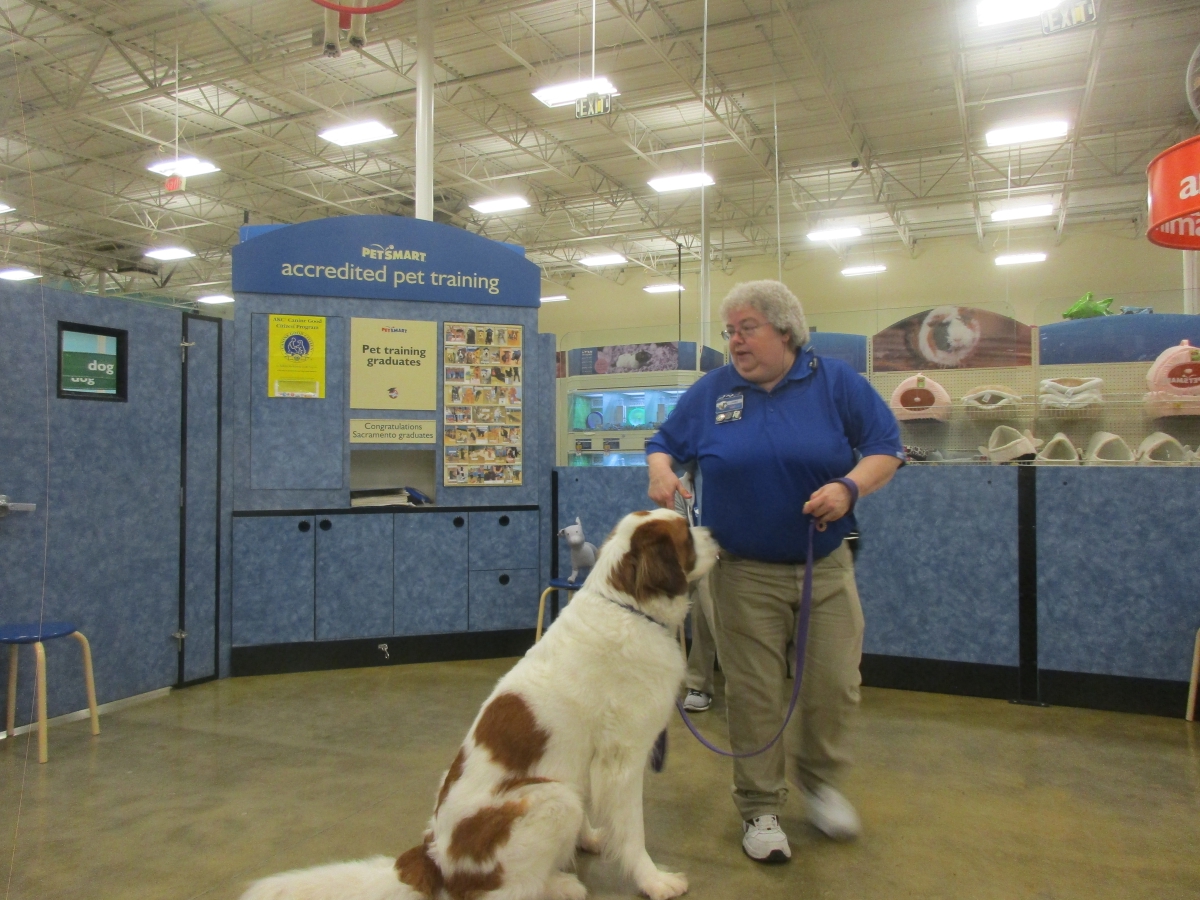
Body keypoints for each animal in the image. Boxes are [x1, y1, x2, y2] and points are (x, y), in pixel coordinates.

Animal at [241, 508, 718, 900]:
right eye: (686, 536)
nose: (713, 530)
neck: (627, 606)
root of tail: (433, 857)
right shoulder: (622, 761)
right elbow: (634, 833)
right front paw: (654, 881)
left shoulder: (588, 765)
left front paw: (593, 839)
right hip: (551, 799)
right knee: (498, 891)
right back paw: (560, 885)